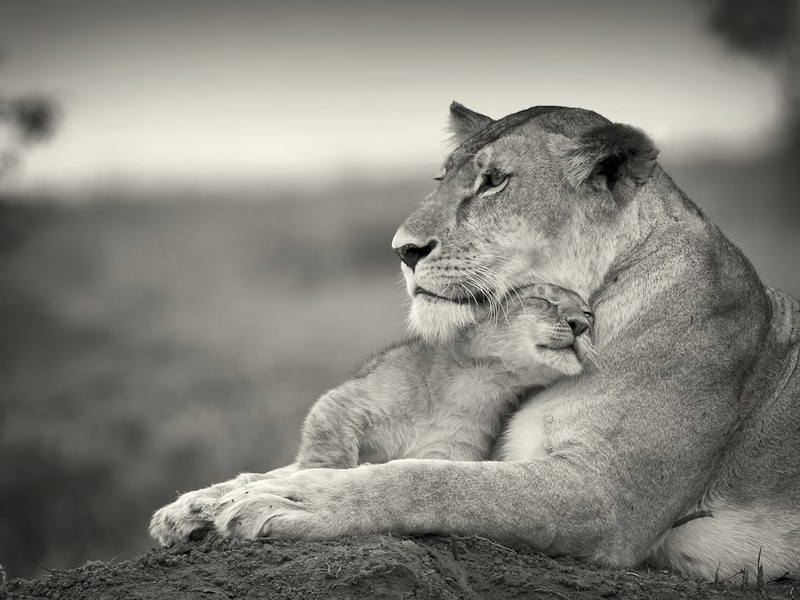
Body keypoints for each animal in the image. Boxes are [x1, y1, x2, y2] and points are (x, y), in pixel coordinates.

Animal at [149, 102, 800, 581]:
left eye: (494, 183)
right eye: (444, 179)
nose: (403, 250)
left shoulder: (607, 496)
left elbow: (429, 481)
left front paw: (290, 501)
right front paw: (203, 503)